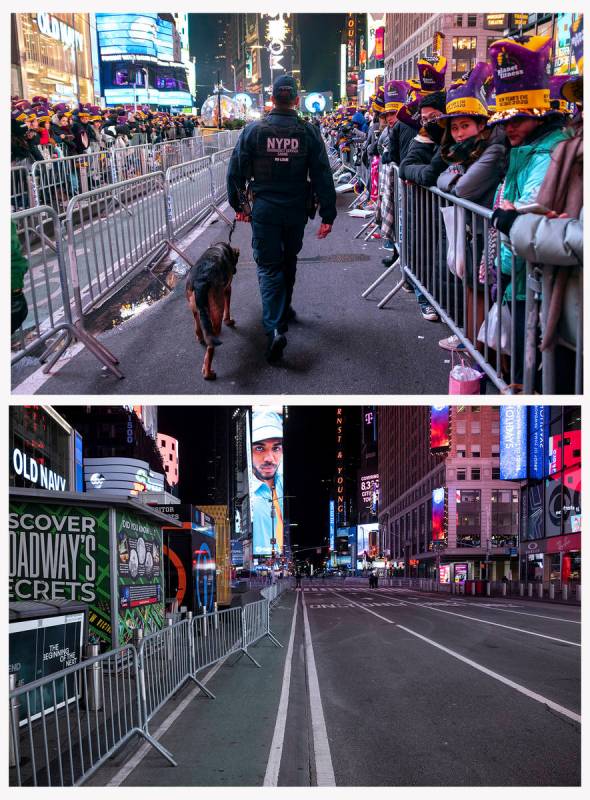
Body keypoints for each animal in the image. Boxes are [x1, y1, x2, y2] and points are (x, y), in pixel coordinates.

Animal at [186, 242, 239, 380]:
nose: (235, 270)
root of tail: (200, 281)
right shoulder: (227, 290)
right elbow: (227, 309)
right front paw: (228, 321)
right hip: (217, 310)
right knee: (211, 346)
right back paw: (208, 373)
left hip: (194, 308)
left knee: (199, 326)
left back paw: (200, 337)